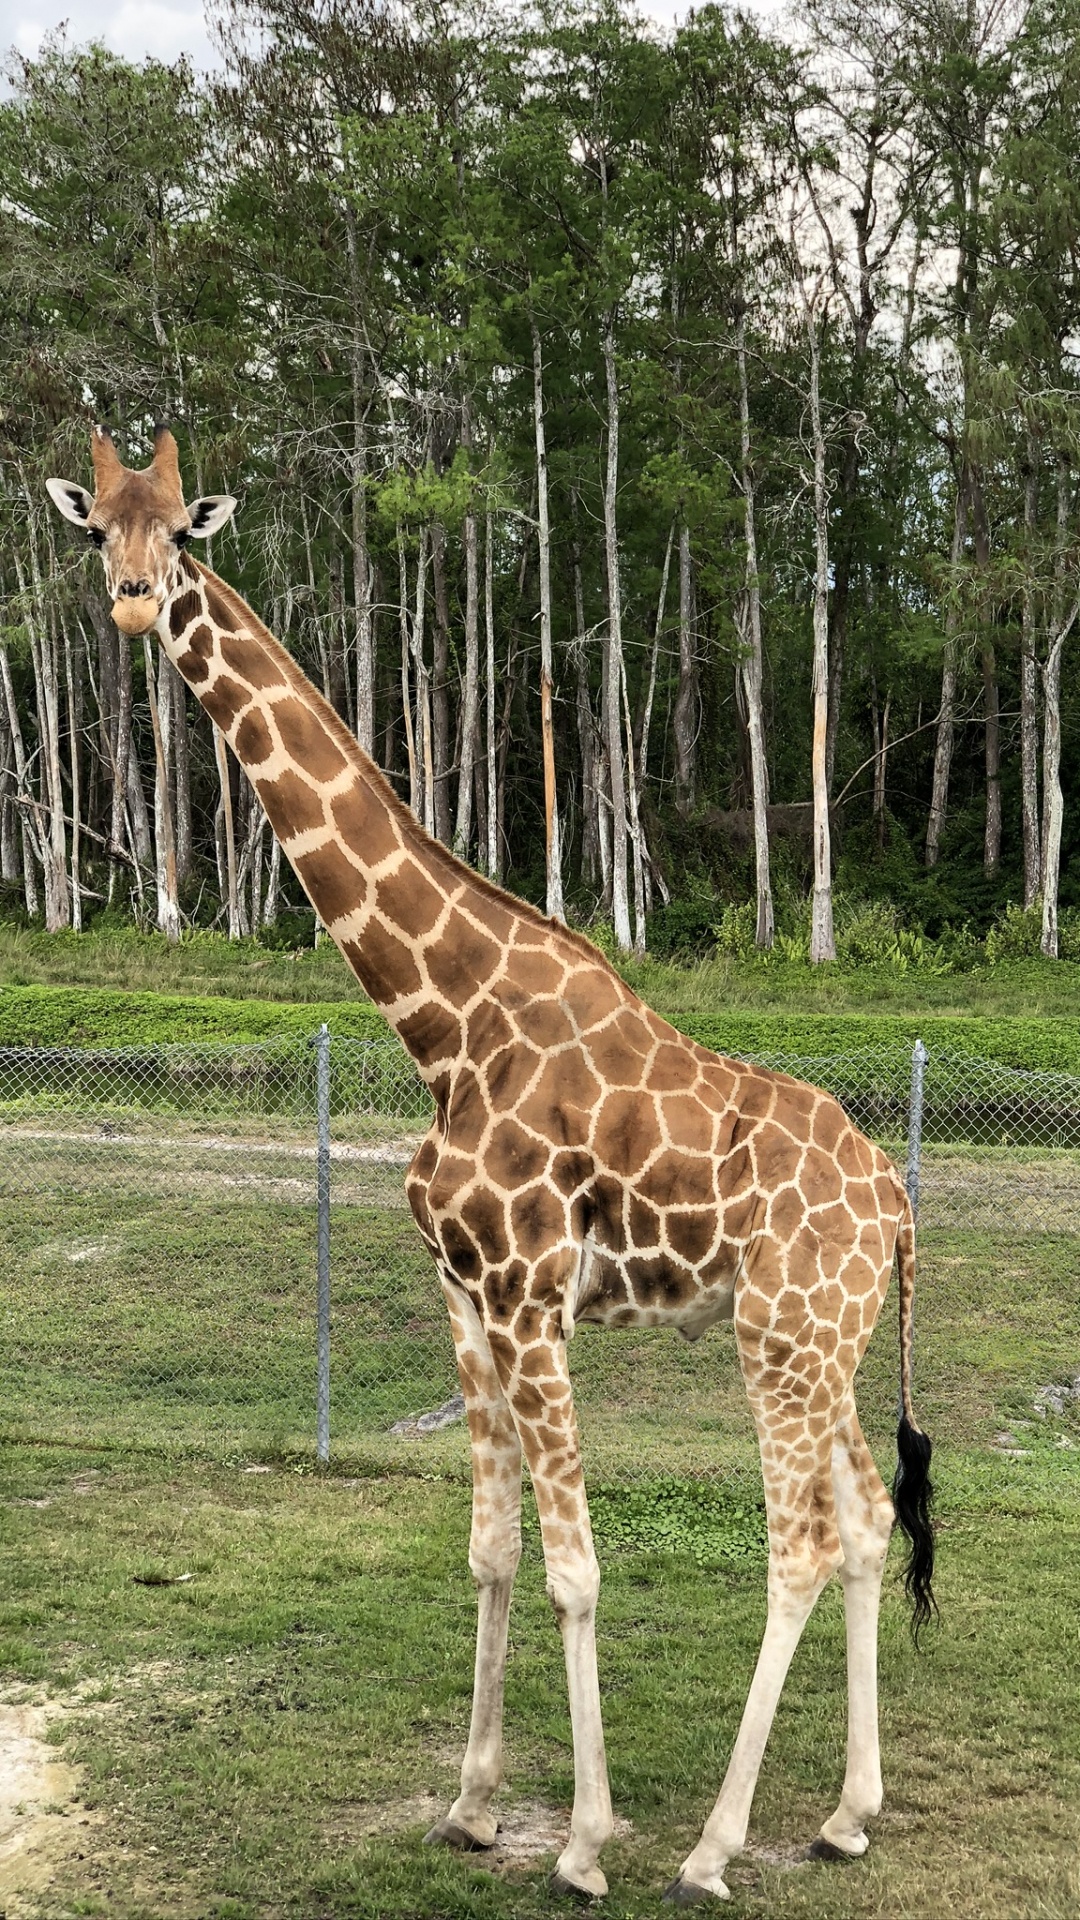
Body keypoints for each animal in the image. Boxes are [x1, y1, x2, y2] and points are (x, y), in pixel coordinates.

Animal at [47, 425, 935, 1906]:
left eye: (180, 532)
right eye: (94, 526)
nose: (125, 603)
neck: (443, 1023)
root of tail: (902, 1209)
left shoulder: (529, 1294)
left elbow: (578, 1566)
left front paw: (581, 1842)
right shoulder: (462, 1297)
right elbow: (490, 1547)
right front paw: (468, 1806)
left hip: (785, 1336)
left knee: (804, 1541)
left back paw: (711, 1848)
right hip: (824, 1334)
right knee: (867, 1520)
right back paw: (845, 1816)